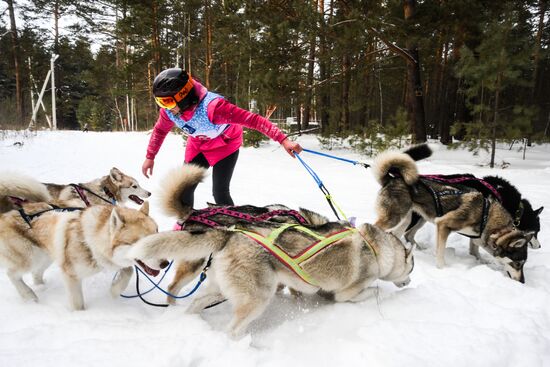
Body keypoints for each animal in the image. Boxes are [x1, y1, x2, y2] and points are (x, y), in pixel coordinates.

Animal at [0, 200, 158, 310]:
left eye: (158, 235)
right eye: (141, 243)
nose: (163, 264)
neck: (90, 241)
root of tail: (5, 216)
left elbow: (128, 270)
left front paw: (114, 291)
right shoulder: (70, 275)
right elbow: (77, 304)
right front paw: (80, 316)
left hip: (47, 257)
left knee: (36, 274)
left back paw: (41, 287)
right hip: (32, 258)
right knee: (11, 273)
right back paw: (29, 295)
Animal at [129, 216, 414, 340]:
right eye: (411, 269)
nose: (409, 282)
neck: (376, 248)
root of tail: (229, 234)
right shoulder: (347, 294)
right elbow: (373, 291)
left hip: (220, 289)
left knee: (196, 304)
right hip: (257, 298)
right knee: (233, 329)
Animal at [374, 151, 536, 284]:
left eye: (523, 264)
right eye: (518, 263)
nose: (522, 282)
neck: (486, 215)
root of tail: (392, 178)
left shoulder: (478, 238)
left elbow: (476, 252)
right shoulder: (443, 225)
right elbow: (440, 255)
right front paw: (442, 270)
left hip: (406, 220)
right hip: (396, 218)